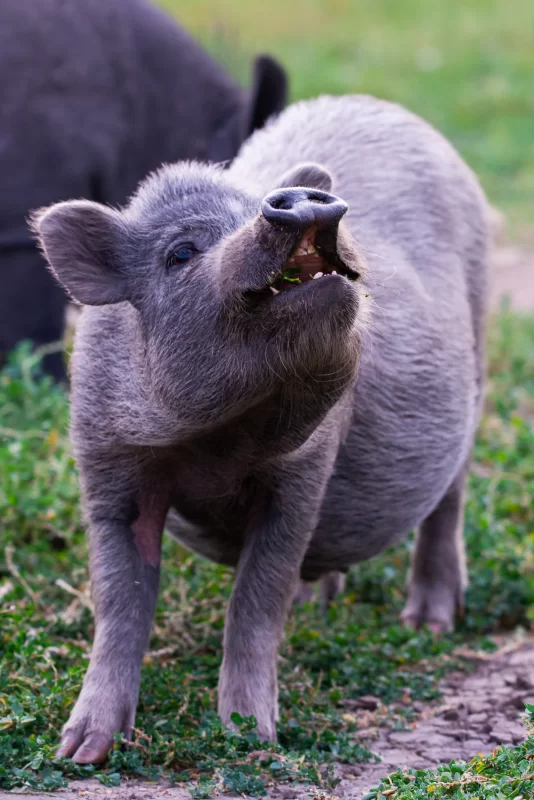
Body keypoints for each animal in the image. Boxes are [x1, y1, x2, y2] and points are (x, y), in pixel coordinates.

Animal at [34, 93, 489, 764]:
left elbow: (257, 595)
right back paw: (323, 605)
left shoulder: (302, 472)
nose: (294, 196)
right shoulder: (106, 458)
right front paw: (80, 753)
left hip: (478, 350)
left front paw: (251, 740)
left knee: (449, 497)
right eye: (180, 252)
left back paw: (428, 624)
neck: (215, 441)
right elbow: (119, 597)